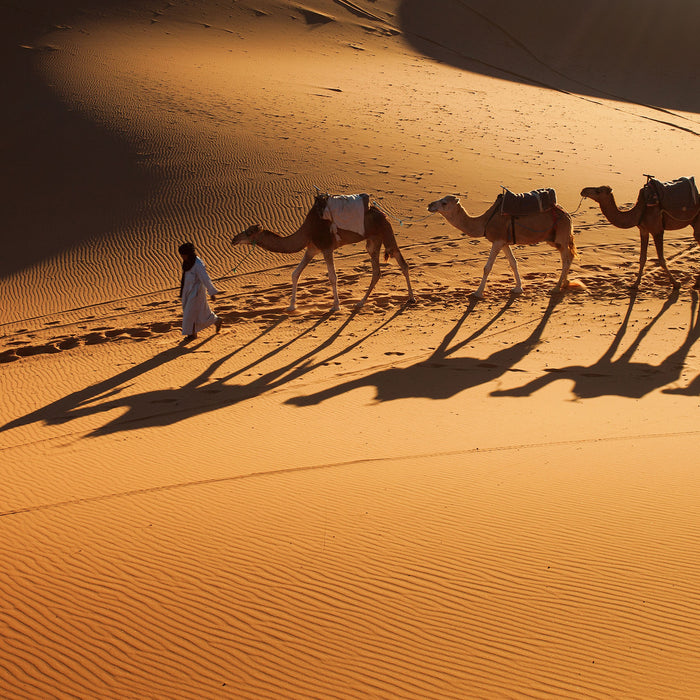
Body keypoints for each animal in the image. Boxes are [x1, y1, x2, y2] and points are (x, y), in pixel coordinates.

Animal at [230, 191, 416, 312]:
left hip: (386, 231)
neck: (307, 230)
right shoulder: (312, 249)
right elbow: (295, 274)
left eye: (249, 232)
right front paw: (291, 306)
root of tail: (383, 213)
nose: (233, 239)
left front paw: (336, 306)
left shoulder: (326, 247)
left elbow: (332, 277)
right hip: (373, 240)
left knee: (402, 262)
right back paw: (360, 303)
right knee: (377, 271)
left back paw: (411, 298)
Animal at [426, 194, 576, 298]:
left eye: (444, 202)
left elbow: (487, 267)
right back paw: (565, 283)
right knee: (568, 258)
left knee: (566, 259)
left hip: (561, 236)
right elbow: (513, 263)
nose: (430, 205)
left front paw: (478, 293)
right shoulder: (504, 242)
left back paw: (556, 288)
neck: (485, 221)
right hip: (554, 239)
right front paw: (518, 288)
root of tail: (567, 215)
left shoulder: (497, 241)